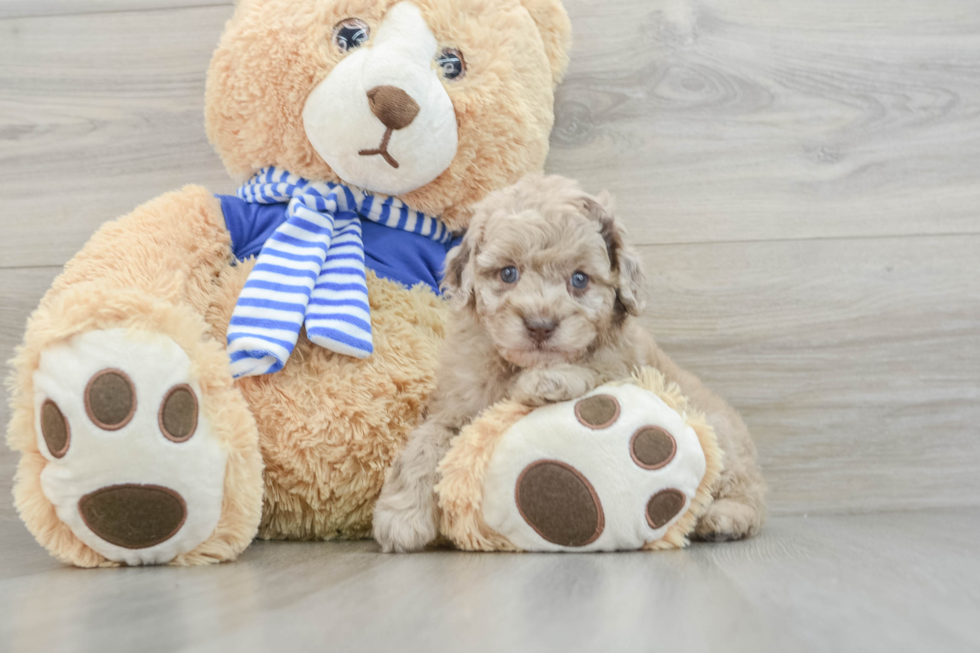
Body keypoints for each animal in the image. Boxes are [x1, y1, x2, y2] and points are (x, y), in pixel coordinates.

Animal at [376, 173, 764, 552]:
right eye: (508, 273)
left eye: (579, 279)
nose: (540, 325)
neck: (517, 366)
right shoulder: (455, 405)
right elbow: (424, 442)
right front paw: (401, 516)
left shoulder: (625, 366)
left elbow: (595, 369)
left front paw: (548, 381)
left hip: (721, 432)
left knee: (745, 489)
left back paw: (725, 518)